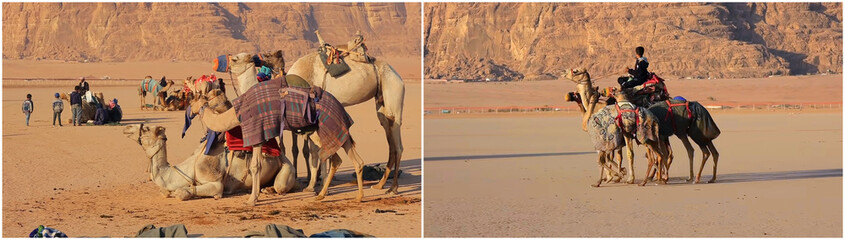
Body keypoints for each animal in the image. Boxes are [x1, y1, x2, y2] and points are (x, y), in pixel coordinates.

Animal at [122, 122, 296, 201]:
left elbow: (184, 192)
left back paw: (270, 190)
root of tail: (281, 154)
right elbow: (165, 191)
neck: (189, 167)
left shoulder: (213, 179)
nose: (127, 127)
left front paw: (181, 192)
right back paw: (266, 189)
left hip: (287, 167)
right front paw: (168, 192)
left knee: (281, 186)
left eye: (146, 129)